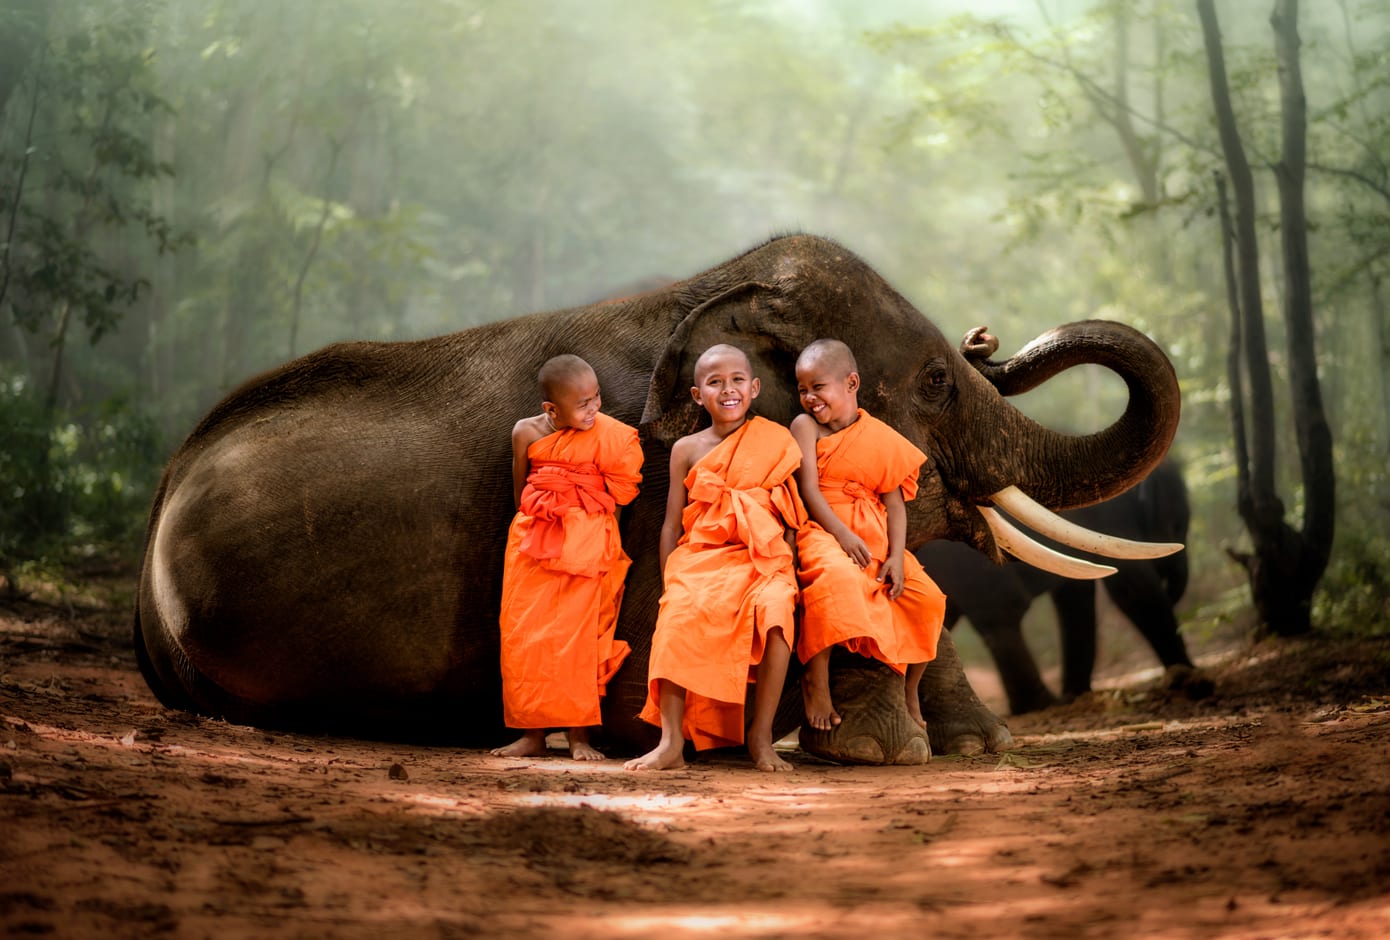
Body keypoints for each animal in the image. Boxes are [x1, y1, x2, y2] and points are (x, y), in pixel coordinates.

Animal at [917, 458, 1189, 717]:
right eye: (1175, 526)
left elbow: (1076, 595)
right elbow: (1131, 588)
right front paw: (1184, 678)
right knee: (999, 611)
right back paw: (1037, 706)